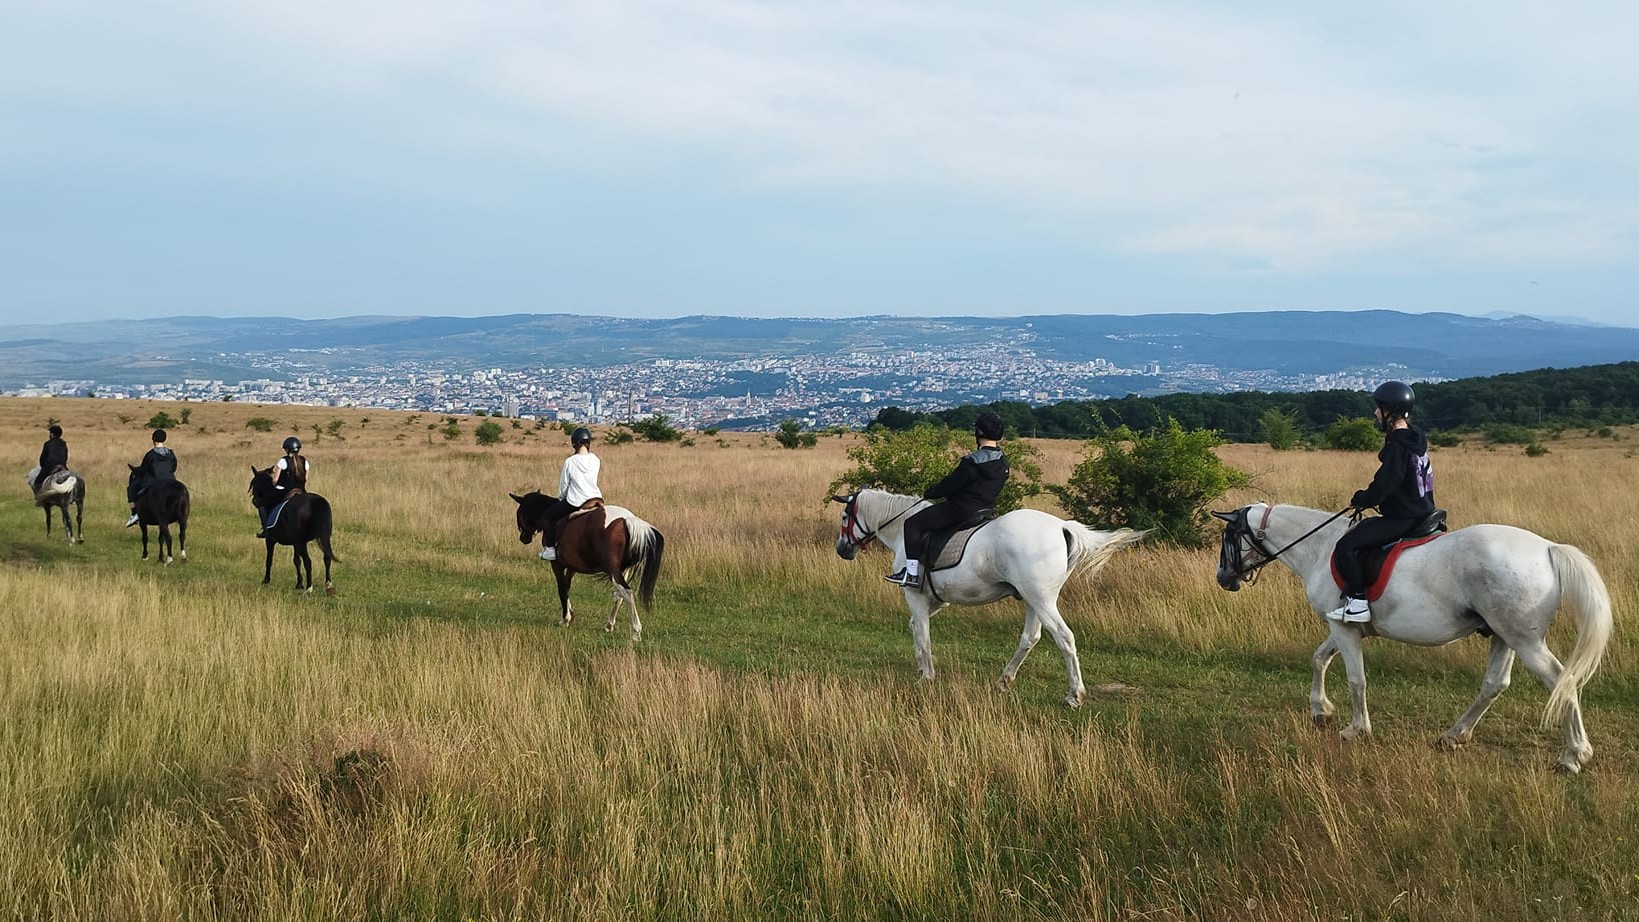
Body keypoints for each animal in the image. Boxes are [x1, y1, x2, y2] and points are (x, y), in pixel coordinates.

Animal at [247, 465, 337, 596]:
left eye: (255, 483)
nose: (255, 502)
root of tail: (317, 502)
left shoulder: (270, 540)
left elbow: (269, 559)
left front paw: (266, 580)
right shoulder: (295, 543)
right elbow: (296, 560)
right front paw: (299, 584)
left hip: (302, 542)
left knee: (308, 562)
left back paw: (309, 588)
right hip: (322, 538)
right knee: (327, 558)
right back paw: (328, 584)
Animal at [511, 491, 665, 641]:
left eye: (519, 514)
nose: (523, 538)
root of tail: (627, 520)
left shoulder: (557, 564)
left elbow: (561, 589)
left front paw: (565, 619)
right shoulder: (572, 567)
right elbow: (567, 587)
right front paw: (570, 613)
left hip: (613, 570)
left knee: (626, 592)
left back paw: (635, 631)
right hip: (623, 569)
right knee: (619, 595)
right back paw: (609, 624)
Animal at [839, 491, 1147, 707]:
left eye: (845, 518)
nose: (842, 550)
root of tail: (1062, 527)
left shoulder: (914, 594)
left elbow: (924, 634)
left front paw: (926, 677)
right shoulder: (935, 599)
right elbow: (916, 626)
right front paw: (920, 666)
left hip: (1042, 600)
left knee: (1064, 637)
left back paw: (1074, 695)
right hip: (1034, 600)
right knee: (1030, 637)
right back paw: (1004, 681)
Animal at [1219, 504, 1612, 772]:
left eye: (1228, 537)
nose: (1223, 578)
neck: (1319, 547)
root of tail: (1547, 548)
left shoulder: (1345, 629)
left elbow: (1356, 679)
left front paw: (1355, 729)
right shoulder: (1343, 626)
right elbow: (1319, 658)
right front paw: (1320, 710)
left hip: (1524, 640)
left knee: (1561, 680)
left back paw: (1573, 756)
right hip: (1505, 636)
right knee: (1494, 684)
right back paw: (1453, 736)